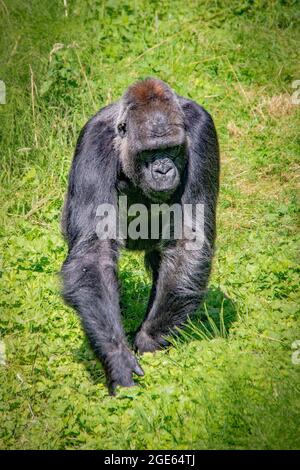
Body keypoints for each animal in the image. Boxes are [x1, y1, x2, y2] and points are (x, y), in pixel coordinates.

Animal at [61, 77, 220, 392]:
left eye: (172, 149)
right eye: (149, 152)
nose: (163, 170)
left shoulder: (201, 130)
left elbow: (188, 241)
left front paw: (149, 339)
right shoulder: (94, 140)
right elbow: (94, 252)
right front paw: (117, 357)